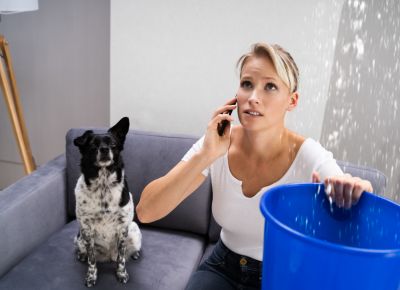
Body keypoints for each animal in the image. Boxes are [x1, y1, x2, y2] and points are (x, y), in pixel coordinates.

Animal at [73, 116, 142, 286]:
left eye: (113, 144)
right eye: (92, 145)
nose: (104, 149)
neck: (103, 186)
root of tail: (108, 256)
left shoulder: (122, 229)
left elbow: (122, 259)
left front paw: (121, 274)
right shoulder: (87, 230)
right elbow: (92, 260)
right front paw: (91, 276)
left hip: (133, 230)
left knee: (126, 253)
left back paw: (134, 254)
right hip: (79, 237)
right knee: (85, 251)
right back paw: (81, 255)